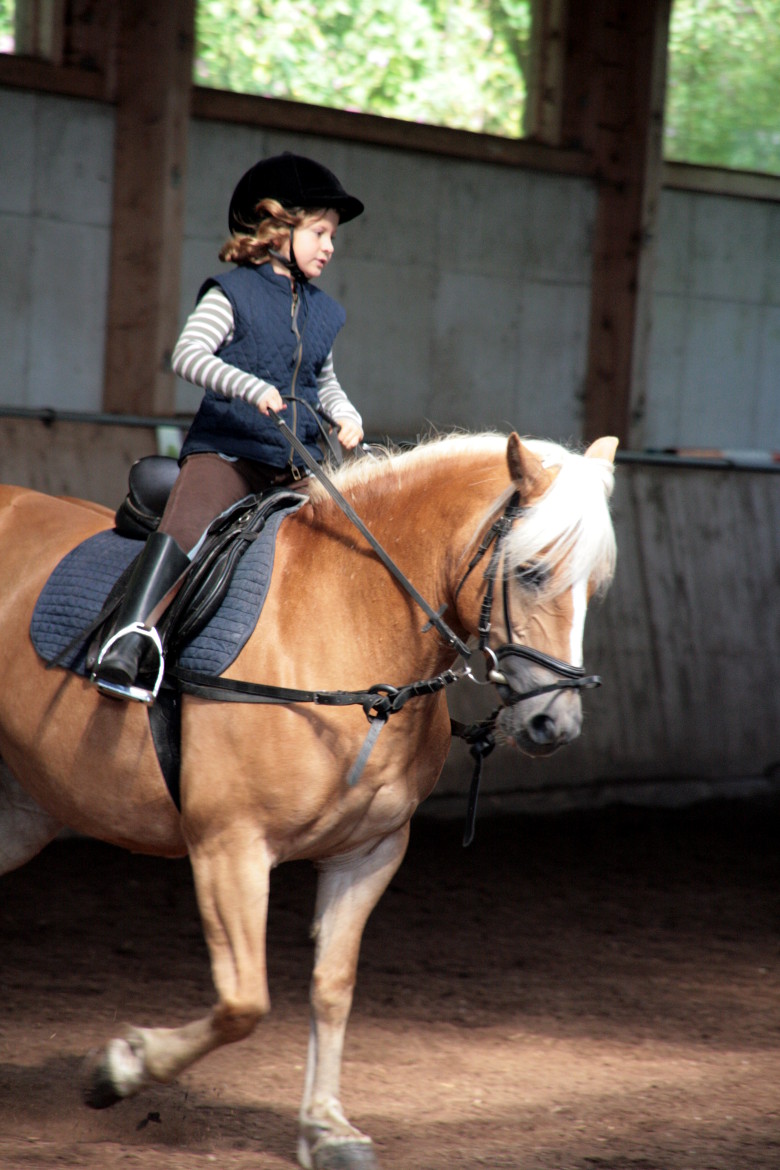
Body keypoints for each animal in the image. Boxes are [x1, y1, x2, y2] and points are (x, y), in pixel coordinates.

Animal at [0, 432, 617, 1170]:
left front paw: (326, 1127)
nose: (556, 726)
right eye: (528, 571)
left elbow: (331, 989)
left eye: (595, 585)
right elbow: (244, 1002)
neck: (348, 618)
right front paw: (118, 1068)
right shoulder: (229, 848)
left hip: (22, 812)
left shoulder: (370, 853)